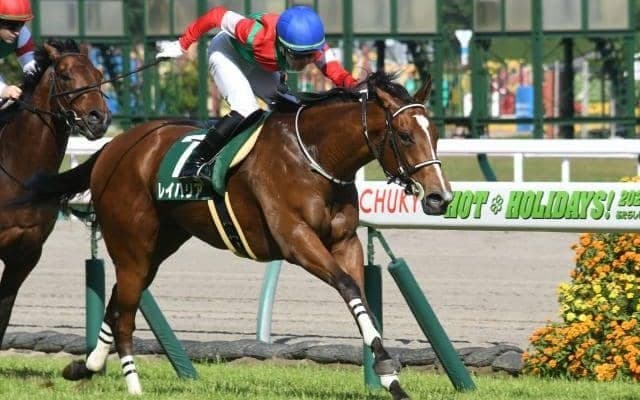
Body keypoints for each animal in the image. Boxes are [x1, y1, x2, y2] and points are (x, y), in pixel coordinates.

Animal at [22, 71, 451, 400]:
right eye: (405, 135)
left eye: (435, 134)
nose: (440, 197)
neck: (314, 156)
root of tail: (113, 146)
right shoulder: (296, 240)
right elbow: (347, 287)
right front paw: (387, 368)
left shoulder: (345, 242)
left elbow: (361, 297)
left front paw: (390, 378)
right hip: (131, 241)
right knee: (126, 311)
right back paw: (133, 385)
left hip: (159, 244)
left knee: (121, 297)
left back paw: (88, 365)